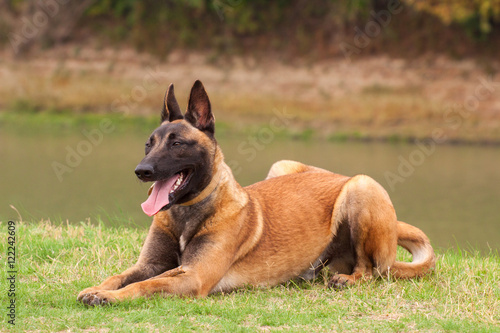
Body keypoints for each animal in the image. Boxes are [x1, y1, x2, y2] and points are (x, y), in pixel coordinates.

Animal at [77, 80, 434, 304]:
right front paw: (98, 288)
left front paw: (109, 297)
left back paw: (349, 279)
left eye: (177, 144)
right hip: (282, 166)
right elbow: (122, 275)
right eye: (148, 144)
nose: (142, 171)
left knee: (370, 270)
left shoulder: (193, 276)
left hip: (361, 187)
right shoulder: (150, 264)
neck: (187, 213)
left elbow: (147, 284)